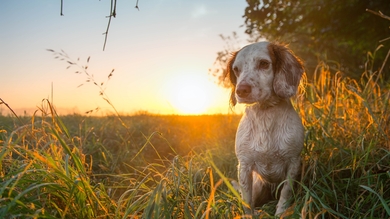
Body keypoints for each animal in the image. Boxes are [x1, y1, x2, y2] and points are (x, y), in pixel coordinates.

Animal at [225, 41, 304, 216]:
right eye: (236, 69)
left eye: (264, 64)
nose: (240, 90)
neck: (265, 113)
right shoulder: (244, 166)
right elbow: (247, 202)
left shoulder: (293, 163)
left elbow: (285, 194)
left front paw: (281, 213)